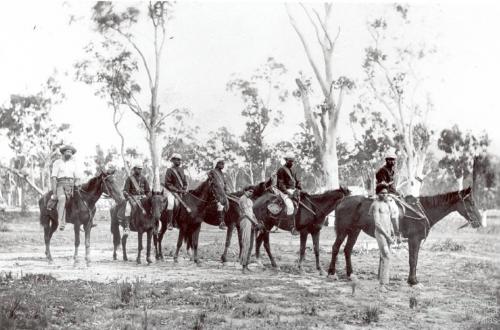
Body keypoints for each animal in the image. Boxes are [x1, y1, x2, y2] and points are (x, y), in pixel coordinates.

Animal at [328, 187, 484, 284]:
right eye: (471, 202)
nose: (479, 222)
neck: (421, 210)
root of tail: (343, 200)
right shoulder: (414, 240)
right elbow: (413, 260)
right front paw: (413, 281)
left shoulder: (415, 240)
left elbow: (414, 259)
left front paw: (412, 279)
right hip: (343, 230)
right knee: (336, 248)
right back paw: (331, 273)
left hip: (354, 231)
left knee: (347, 249)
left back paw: (351, 275)